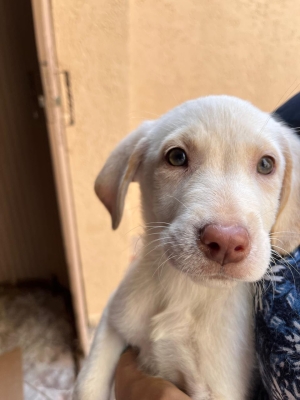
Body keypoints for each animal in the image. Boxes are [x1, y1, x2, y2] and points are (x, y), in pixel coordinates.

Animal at [73, 96, 300, 400]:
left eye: (266, 164)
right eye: (177, 157)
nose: (226, 241)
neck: (184, 290)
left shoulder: (215, 389)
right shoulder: (113, 319)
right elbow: (88, 382)